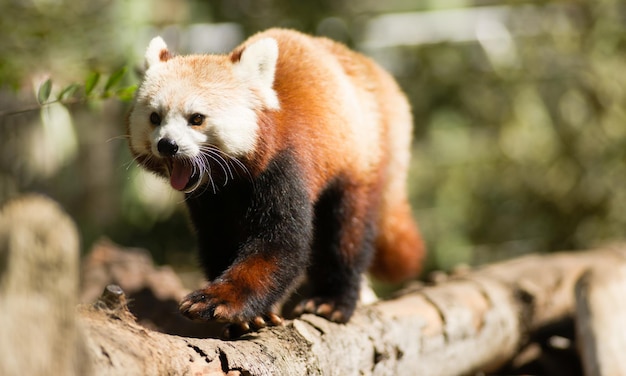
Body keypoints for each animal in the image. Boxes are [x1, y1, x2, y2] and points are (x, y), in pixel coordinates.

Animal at [129, 28, 426, 334]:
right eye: (155, 117)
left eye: (196, 118)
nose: (167, 145)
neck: (229, 183)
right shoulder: (209, 200)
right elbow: (219, 243)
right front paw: (250, 317)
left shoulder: (283, 166)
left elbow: (281, 245)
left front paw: (219, 300)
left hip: (360, 159)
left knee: (346, 234)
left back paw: (332, 300)